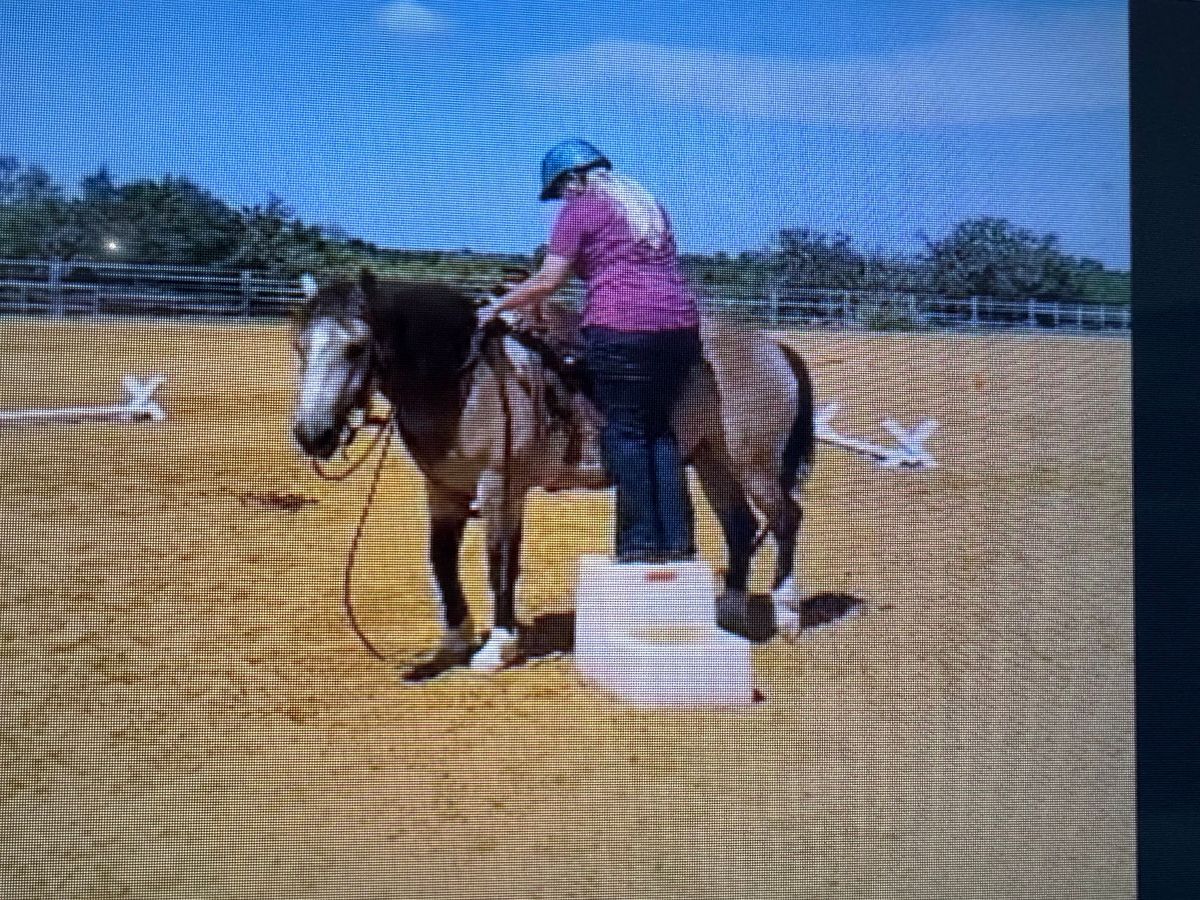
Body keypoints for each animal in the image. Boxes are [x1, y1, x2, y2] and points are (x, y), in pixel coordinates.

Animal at [292, 270, 816, 676]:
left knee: (786, 519)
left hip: (754, 465)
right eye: (299, 346)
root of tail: (774, 347)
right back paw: (729, 610)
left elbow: (499, 563)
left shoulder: (500, 488)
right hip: (714, 461)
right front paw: (455, 642)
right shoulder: (443, 491)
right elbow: (442, 561)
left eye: (357, 347)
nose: (312, 435)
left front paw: (497, 647)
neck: (467, 382)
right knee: (741, 525)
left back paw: (787, 613)